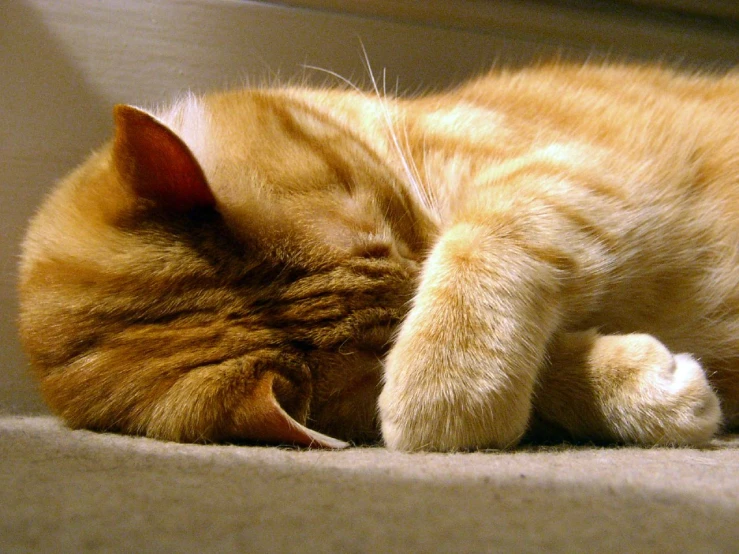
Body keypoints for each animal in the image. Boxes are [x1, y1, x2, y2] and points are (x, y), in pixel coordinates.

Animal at [18, 62, 739, 448]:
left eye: (385, 225)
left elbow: (488, 243)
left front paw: (444, 393)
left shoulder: (576, 169)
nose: (422, 266)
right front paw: (642, 390)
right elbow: (549, 368)